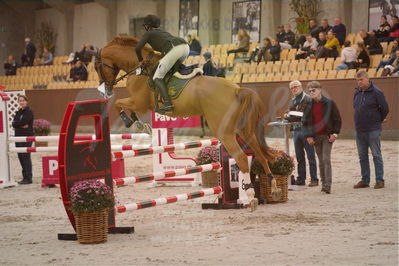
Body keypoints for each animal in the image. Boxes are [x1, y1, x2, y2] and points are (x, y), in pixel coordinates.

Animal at [95, 34, 280, 197]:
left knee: (241, 158)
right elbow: (123, 105)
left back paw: (248, 194)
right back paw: (273, 185)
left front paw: (132, 122)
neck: (140, 68)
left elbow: (119, 104)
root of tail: (236, 89)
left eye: (97, 67)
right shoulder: (137, 102)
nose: (106, 89)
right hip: (242, 129)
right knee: (260, 154)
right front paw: (139, 123)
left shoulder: (139, 102)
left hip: (223, 131)